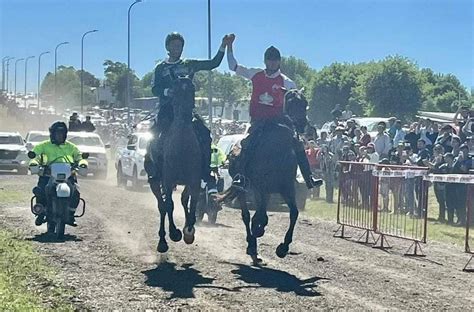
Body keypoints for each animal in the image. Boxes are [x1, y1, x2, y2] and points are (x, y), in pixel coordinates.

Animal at [147, 76, 201, 254]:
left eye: (192, 89)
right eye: (175, 90)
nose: (186, 114)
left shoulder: (195, 180)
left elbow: (192, 203)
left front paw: (189, 231)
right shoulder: (167, 180)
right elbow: (169, 205)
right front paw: (174, 233)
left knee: (183, 200)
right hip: (154, 181)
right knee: (162, 206)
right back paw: (162, 240)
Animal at [227, 89, 312, 264]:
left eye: (305, 102)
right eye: (291, 101)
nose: (302, 123)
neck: (277, 150)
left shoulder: (287, 188)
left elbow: (294, 213)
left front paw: (283, 248)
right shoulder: (260, 187)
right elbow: (259, 216)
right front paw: (257, 231)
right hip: (243, 188)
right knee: (246, 215)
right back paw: (252, 246)